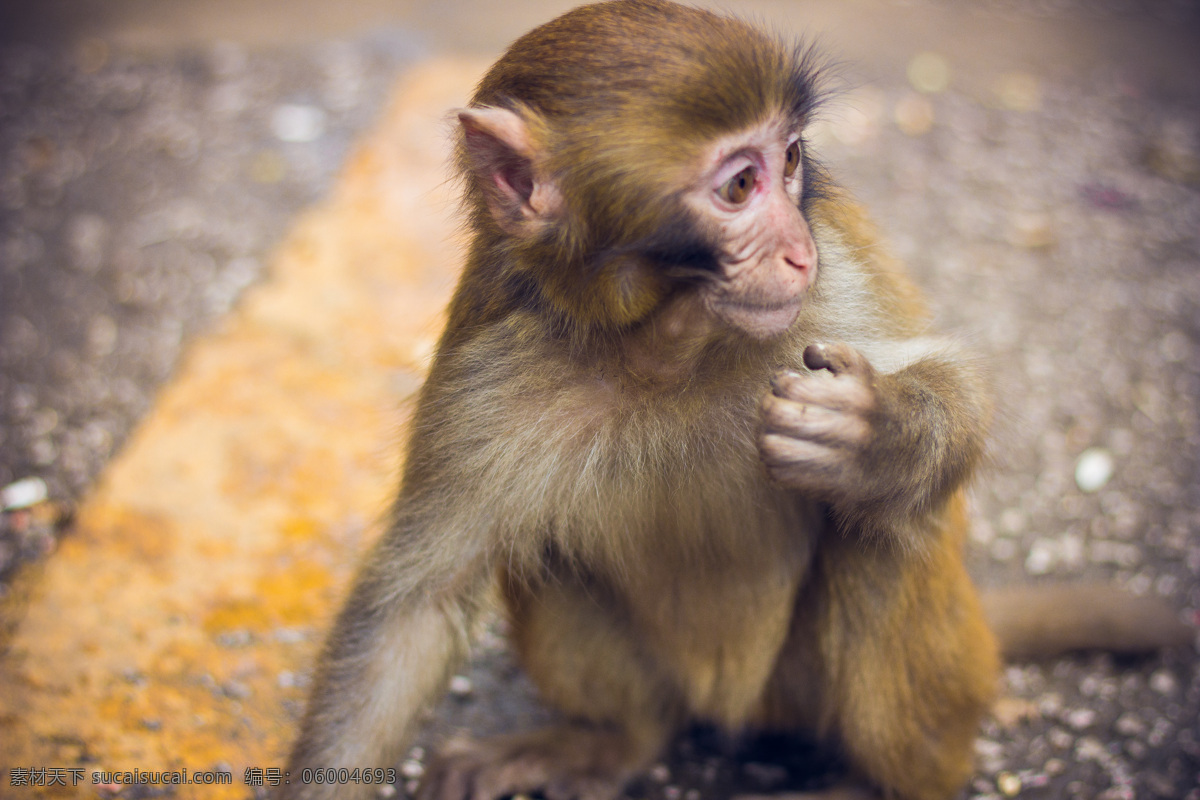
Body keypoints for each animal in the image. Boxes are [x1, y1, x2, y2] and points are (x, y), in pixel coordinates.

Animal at [280, 1, 1190, 800]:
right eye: (740, 185)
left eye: (790, 161)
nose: (797, 250)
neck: (661, 350)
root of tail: (732, 707)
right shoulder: (487, 374)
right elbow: (415, 608)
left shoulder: (836, 284)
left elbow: (951, 384)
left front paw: (876, 438)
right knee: (549, 564)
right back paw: (609, 743)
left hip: (822, 687)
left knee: (884, 538)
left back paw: (884, 783)